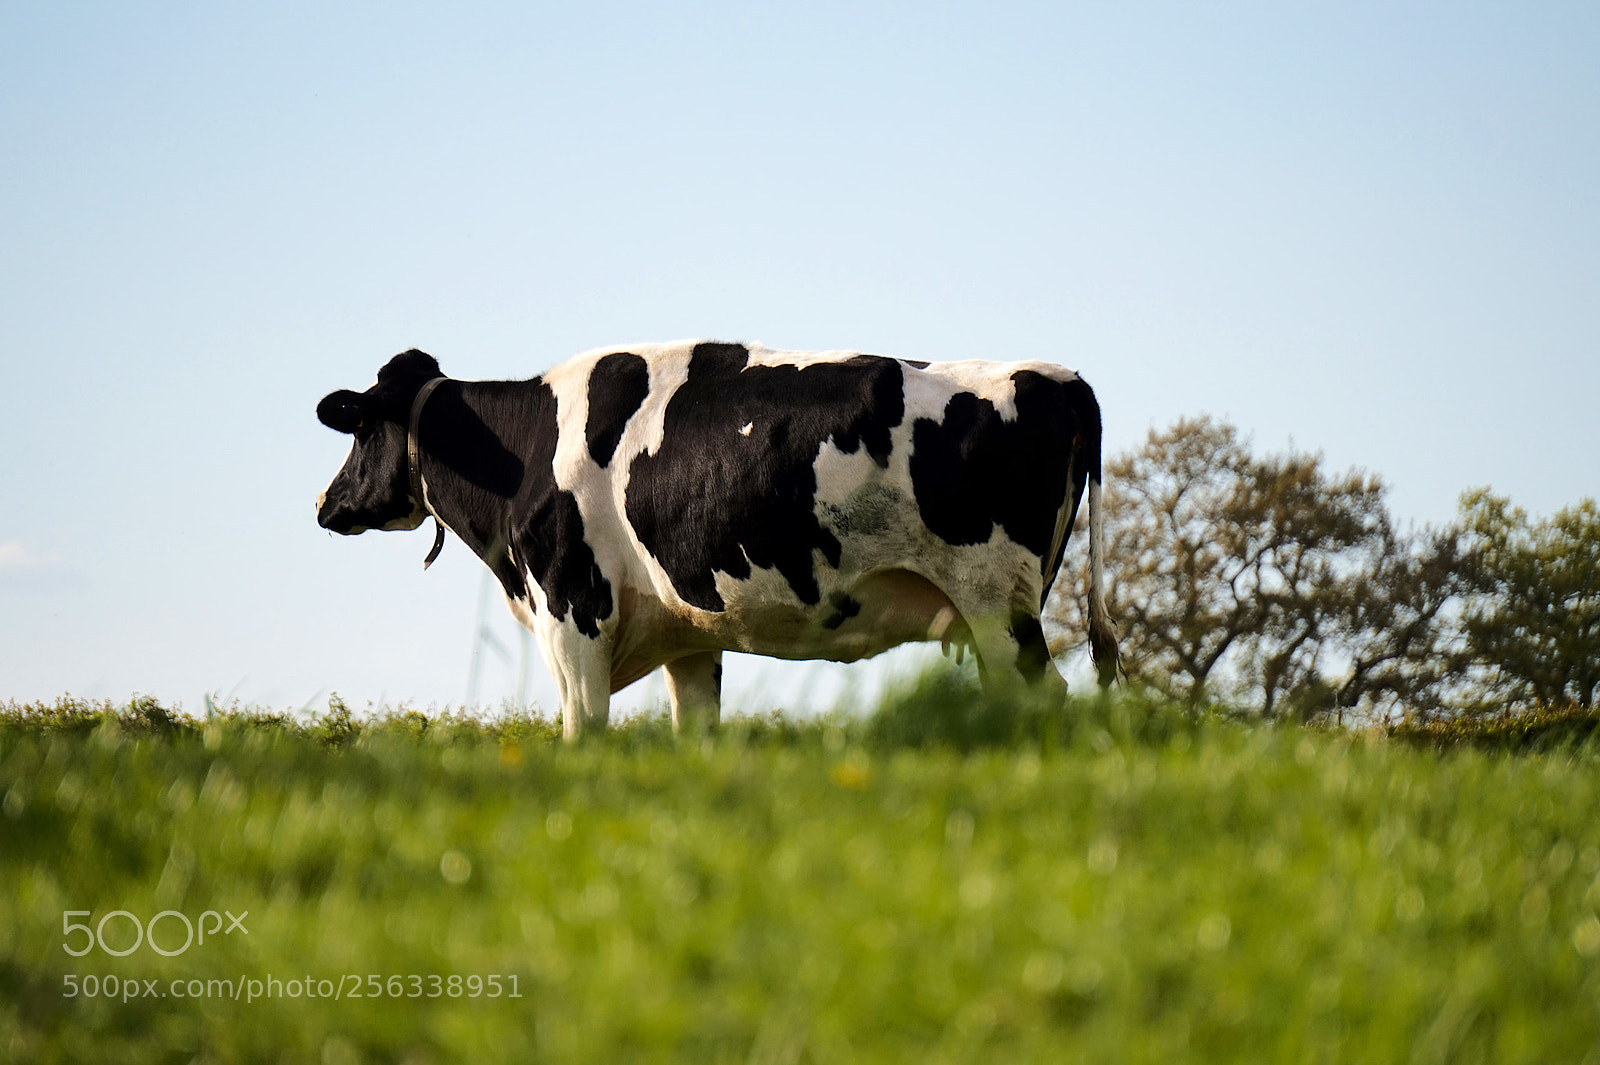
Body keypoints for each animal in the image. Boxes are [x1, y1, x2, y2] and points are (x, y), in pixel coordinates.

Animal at [316, 341, 1117, 738]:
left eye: (359, 429)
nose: (325, 503)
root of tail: (1060, 376)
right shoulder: (688, 636)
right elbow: (694, 732)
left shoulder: (574, 612)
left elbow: (582, 731)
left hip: (996, 601)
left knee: (1043, 696)